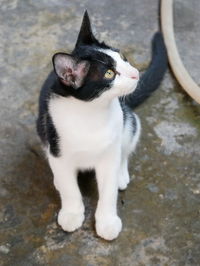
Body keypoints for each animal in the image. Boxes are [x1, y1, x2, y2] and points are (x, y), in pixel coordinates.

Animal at [36, 10, 167, 241]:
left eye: (123, 58)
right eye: (109, 74)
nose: (136, 73)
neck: (91, 112)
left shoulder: (109, 154)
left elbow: (108, 191)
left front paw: (107, 222)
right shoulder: (58, 150)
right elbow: (70, 188)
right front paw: (71, 213)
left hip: (129, 122)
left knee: (125, 149)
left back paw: (121, 175)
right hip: (41, 127)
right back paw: (58, 181)